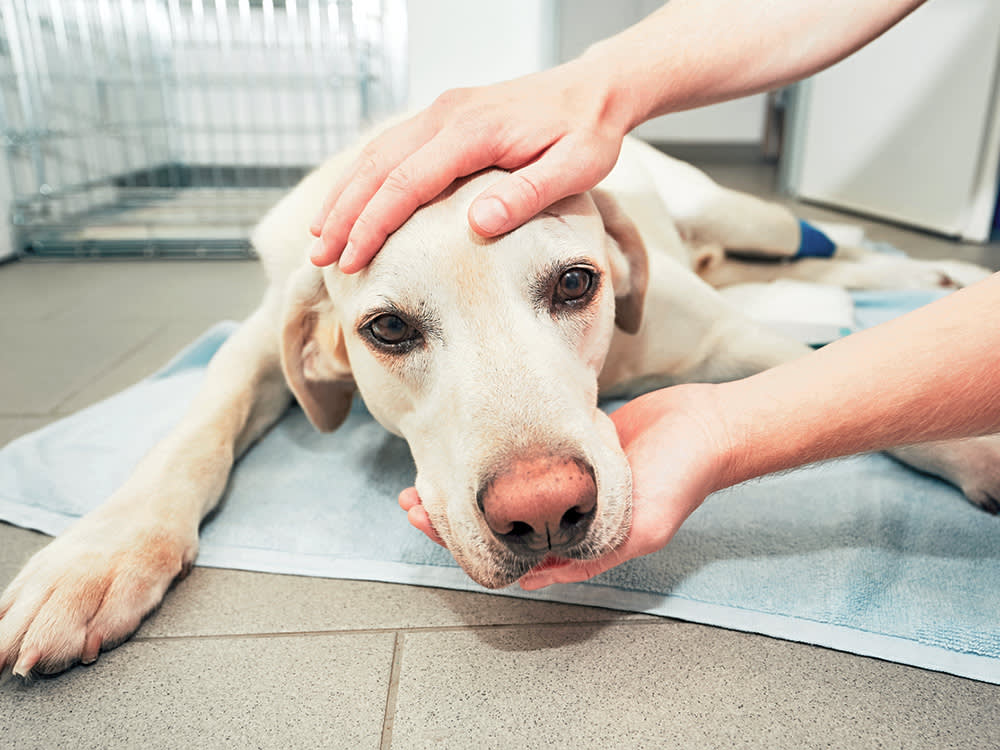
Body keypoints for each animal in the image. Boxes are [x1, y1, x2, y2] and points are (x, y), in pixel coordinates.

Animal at [1, 137, 1000, 680]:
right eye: (389, 328)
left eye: (575, 282)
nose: (546, 510)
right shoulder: (259, 337)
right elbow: (196, 426)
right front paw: (96, 558)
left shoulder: (727, 339)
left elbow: (867, 383)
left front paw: (977, 446)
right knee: (808, 270)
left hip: (747, 215)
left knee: (824, 248)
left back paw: (937, 271)